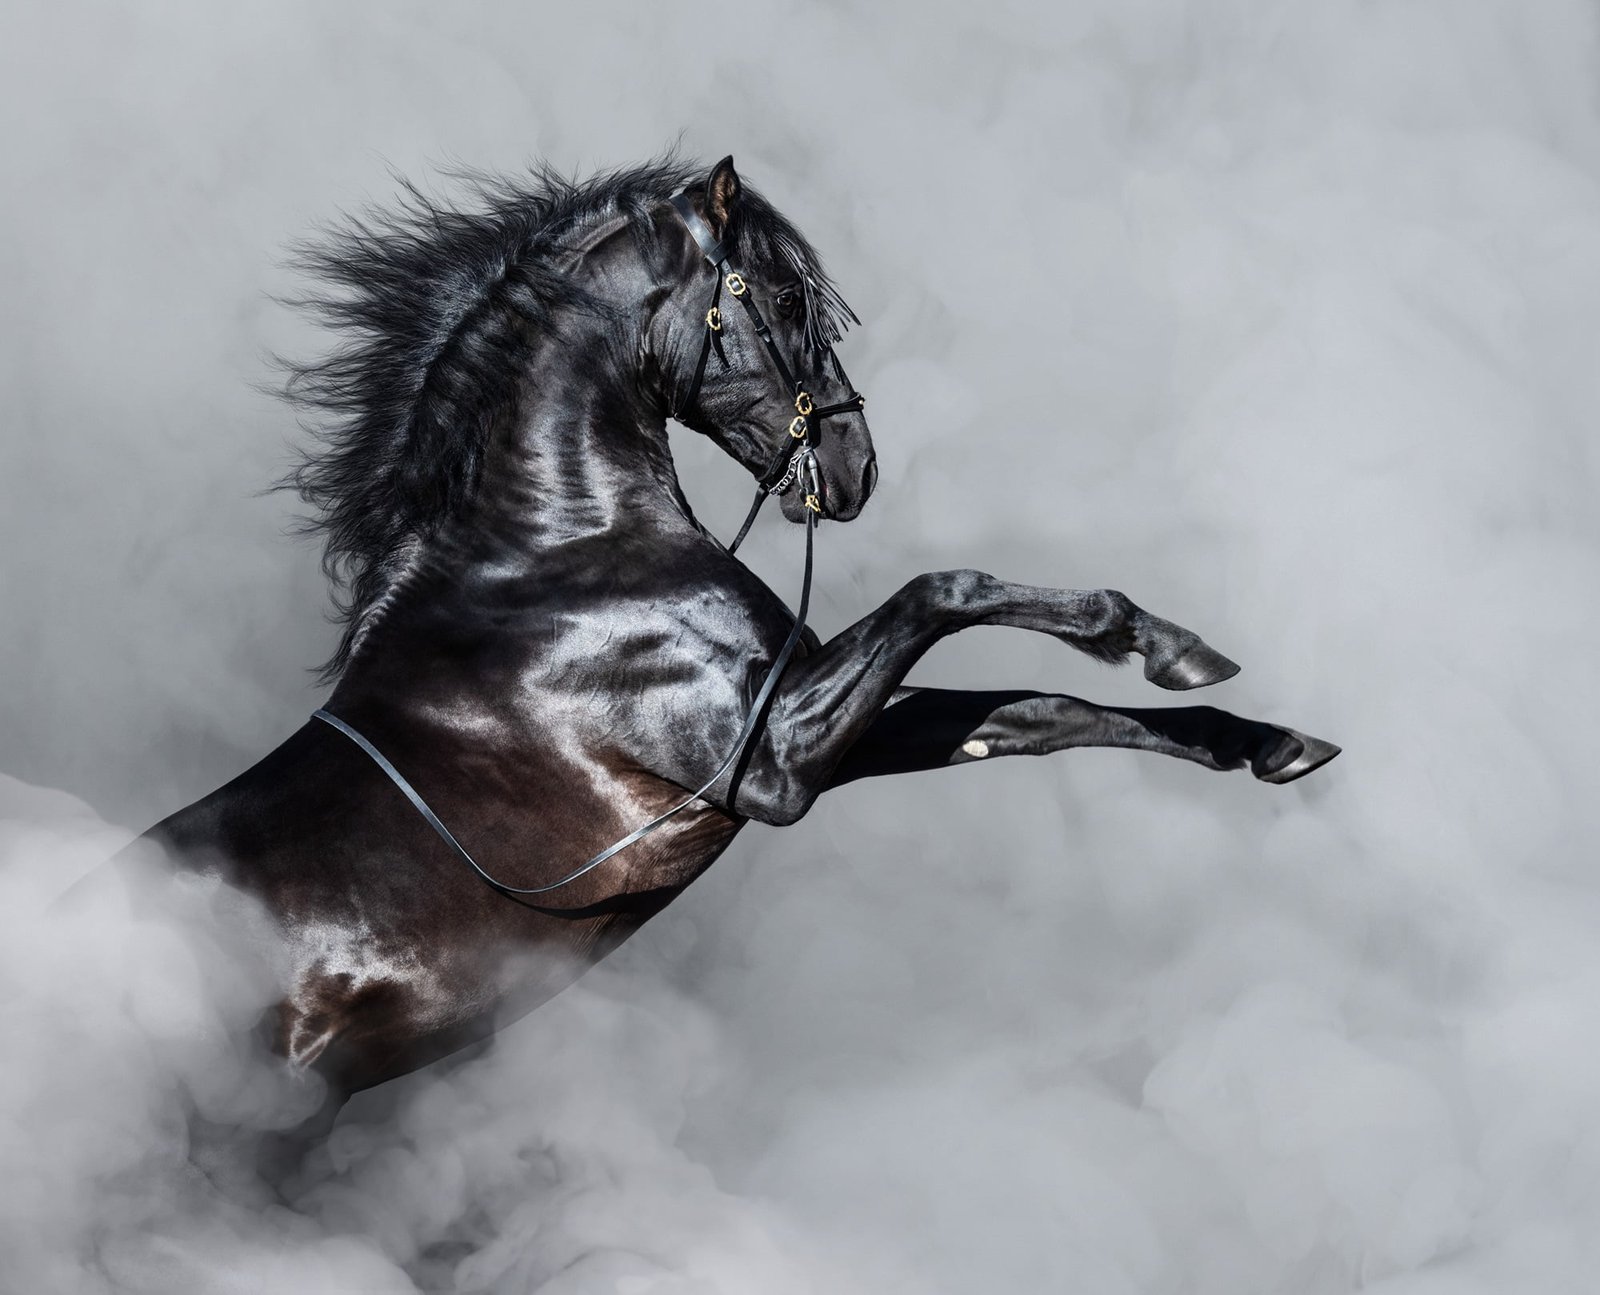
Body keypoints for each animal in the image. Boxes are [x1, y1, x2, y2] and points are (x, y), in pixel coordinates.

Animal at [138, 155, 1338, 1127]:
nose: (853, 469)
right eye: (786, 295)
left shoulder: (808, 724)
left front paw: (1263, 738)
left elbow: (1031, 716)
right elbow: (950, 590)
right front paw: (1155, 636)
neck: (556, 556)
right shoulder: (770, 760)